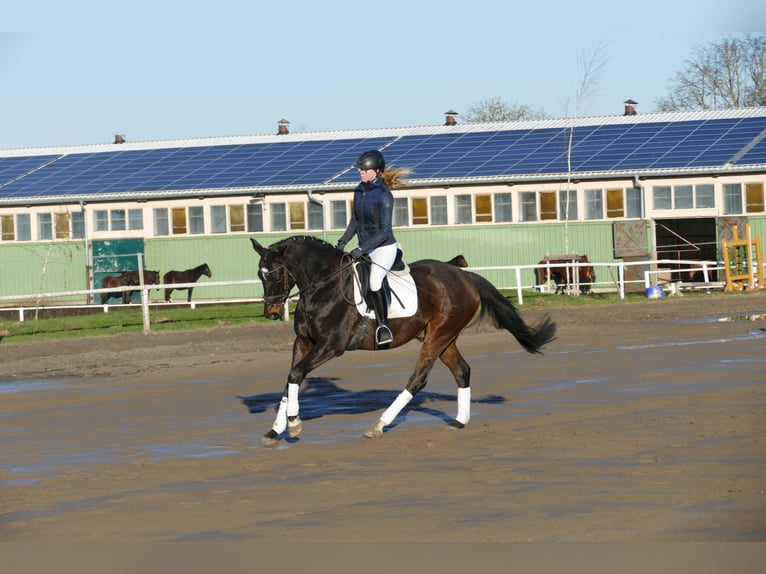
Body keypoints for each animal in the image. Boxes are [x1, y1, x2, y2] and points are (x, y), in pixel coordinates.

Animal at [250, 235, 556, 447]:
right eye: (259, 274)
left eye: (274, 273)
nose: (271, 312)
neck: (325, 285)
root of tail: (463, 274)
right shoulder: (302, 343)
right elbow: (290, 380)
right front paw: (275, 430)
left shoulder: (331, 346)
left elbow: (296, 374)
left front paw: (293, 422)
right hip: (443, 337)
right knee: (462, 371)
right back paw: (458, 422)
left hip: (438, 336)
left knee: (418, 379)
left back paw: (379, 425)